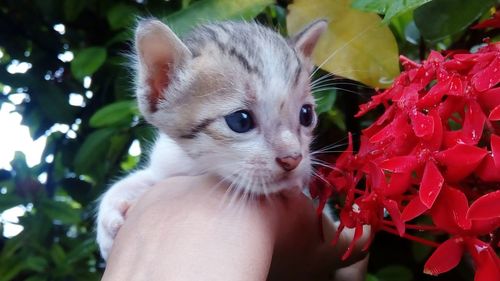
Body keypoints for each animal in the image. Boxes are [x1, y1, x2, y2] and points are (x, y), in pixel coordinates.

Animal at [95, 17, 326, 258]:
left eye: (306, 114)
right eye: (241, 121)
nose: (293, 158)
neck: (198, 167)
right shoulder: (168, 163)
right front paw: (107, 221)